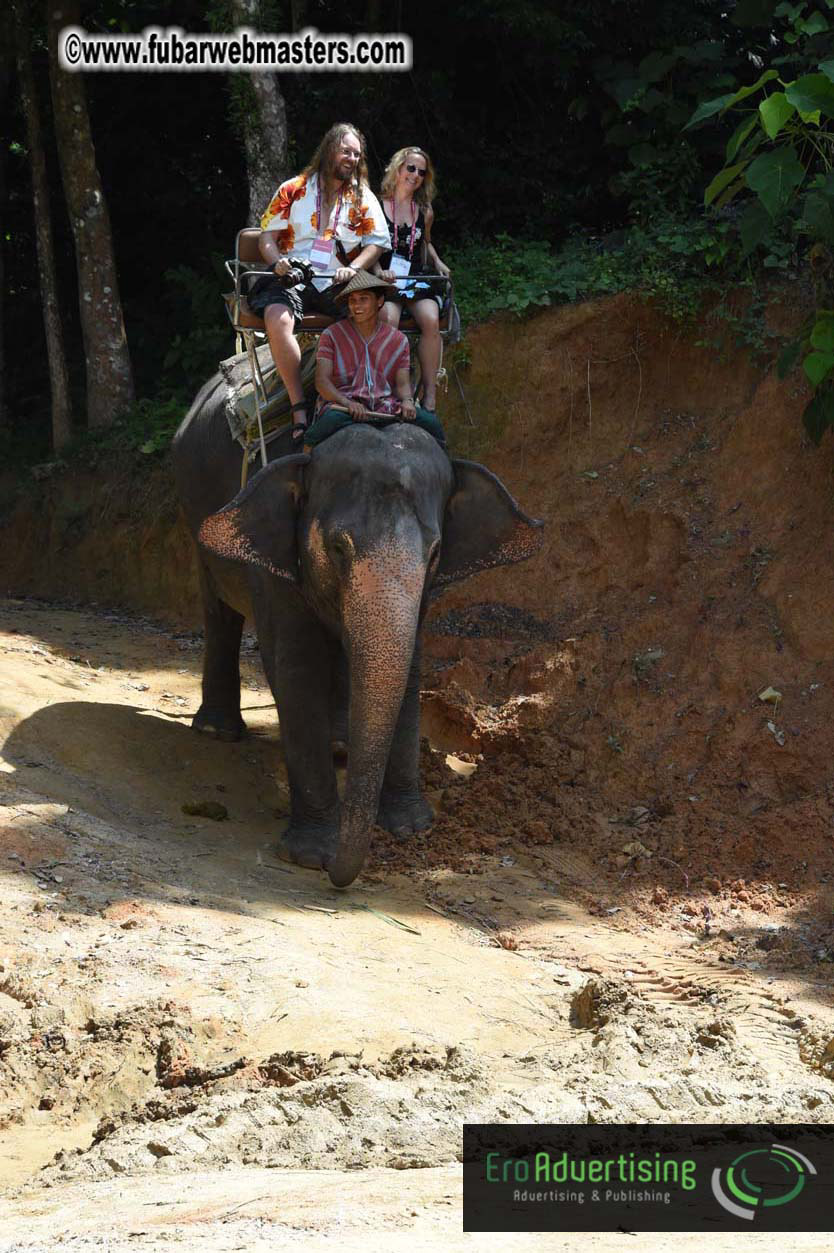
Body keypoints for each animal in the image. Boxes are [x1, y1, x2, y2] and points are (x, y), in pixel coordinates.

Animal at [172, 375, 543, 888]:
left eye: (435, 552)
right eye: (337, 547)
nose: (338, 875)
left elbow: (409, 665)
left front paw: (410, 827)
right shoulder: (275, 559)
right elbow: (297, 665)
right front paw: (312, 854)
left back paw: (341, 747)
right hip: (197, 518)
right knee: (219, 611)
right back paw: (218, 731)